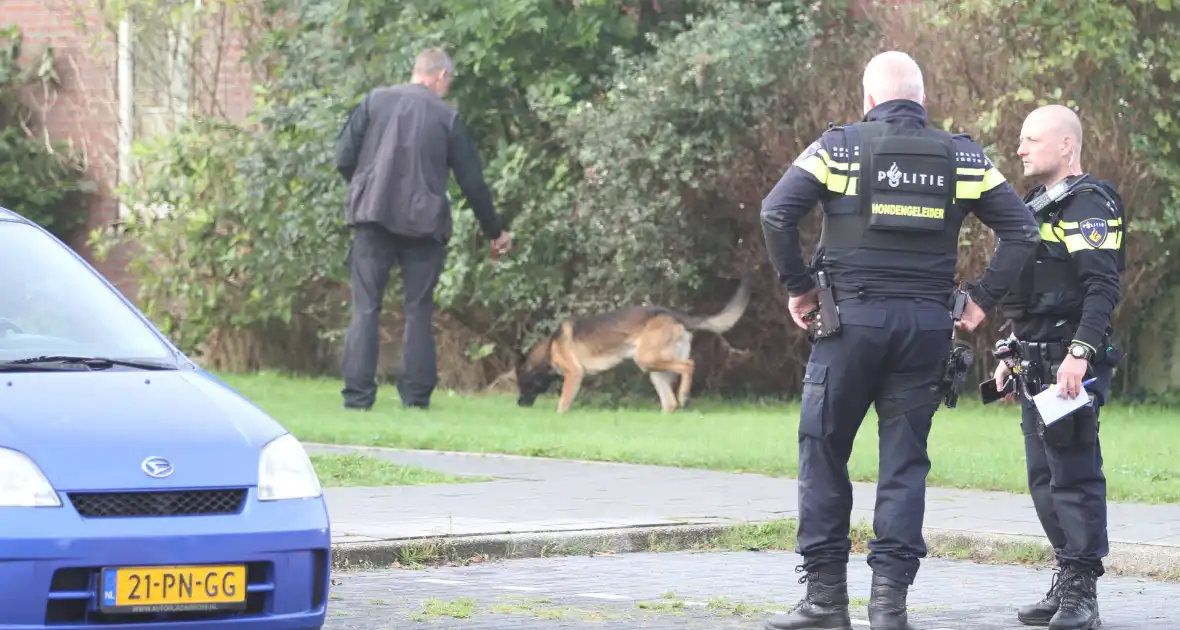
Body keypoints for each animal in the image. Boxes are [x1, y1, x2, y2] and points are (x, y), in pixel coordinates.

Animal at [512, 279, 750, 417]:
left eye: (521, 383)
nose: (518, 404)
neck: (549, 348)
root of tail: (671, 314)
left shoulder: (574, 374)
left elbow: (563, 403)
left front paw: (559, 416)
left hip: (647, 359)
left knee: (689, 366)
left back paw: (684, 396)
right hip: (654, 369)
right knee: (669, 403)